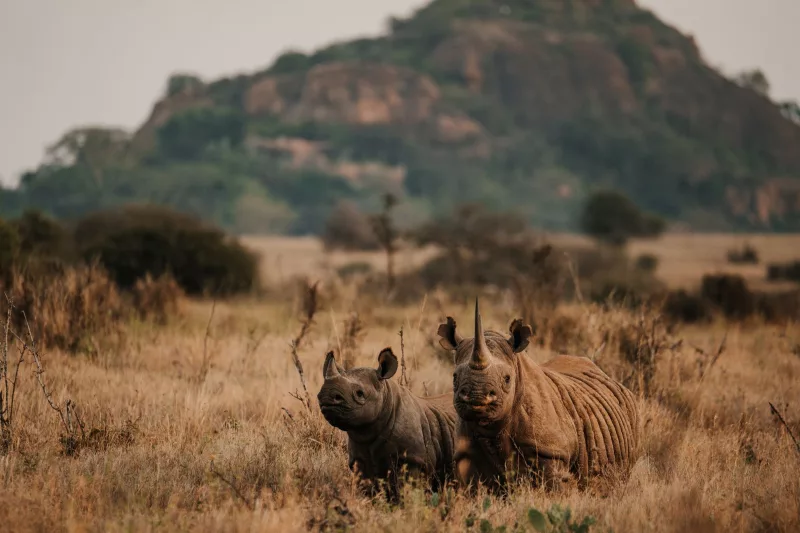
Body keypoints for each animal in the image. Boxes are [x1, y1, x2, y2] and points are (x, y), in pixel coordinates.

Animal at [317, 347, 457, 498]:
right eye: (320, 395)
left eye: (359, 393)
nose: (326, 395)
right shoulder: (358, 458)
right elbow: (368, 489)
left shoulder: (415, 460)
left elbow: (409, 490)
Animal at [437, 300, 640, 492]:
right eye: (454, 377)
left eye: (507, 379)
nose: (477, 396)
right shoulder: (465, 454)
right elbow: (472, 488)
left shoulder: (551, 449)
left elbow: (553, 486)